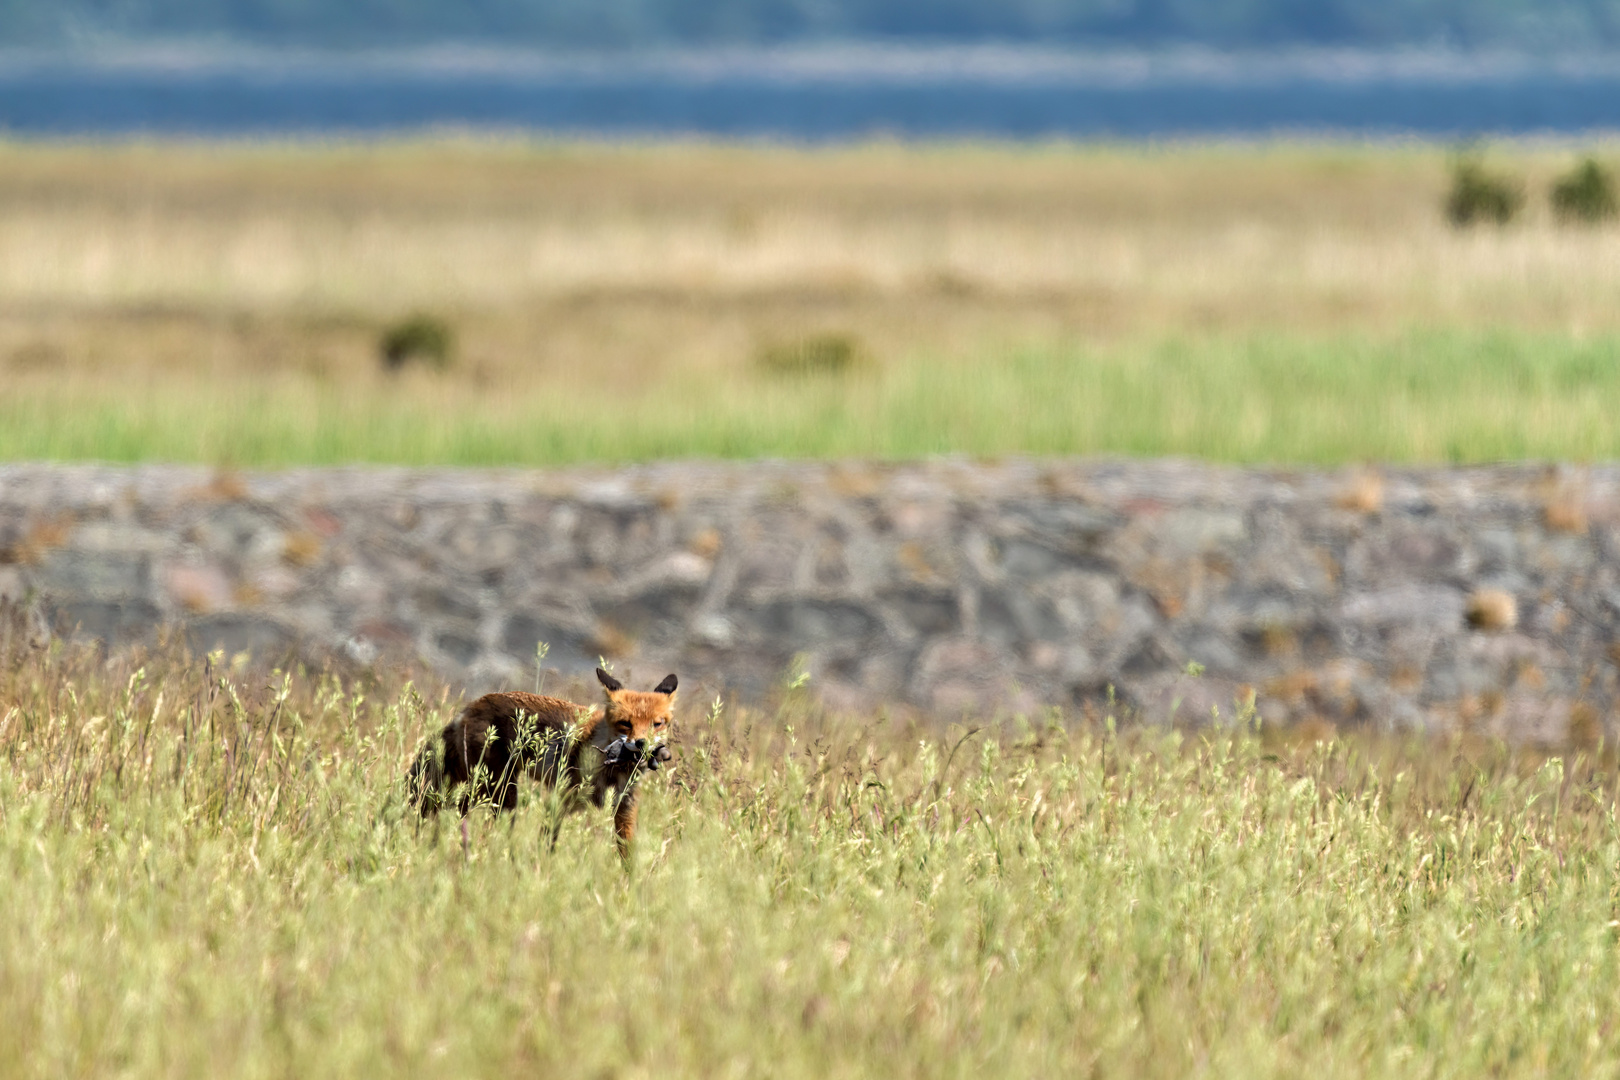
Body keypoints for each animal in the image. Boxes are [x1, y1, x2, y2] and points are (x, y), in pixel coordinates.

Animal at [417, 663, 677, 854]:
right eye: (626, 723)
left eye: (657, 724)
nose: (641, 744)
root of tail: (470, 707)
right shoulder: (560, 799)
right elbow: (547, 842)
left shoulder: (624, 808)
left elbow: (627, 856)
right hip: (502, 792)